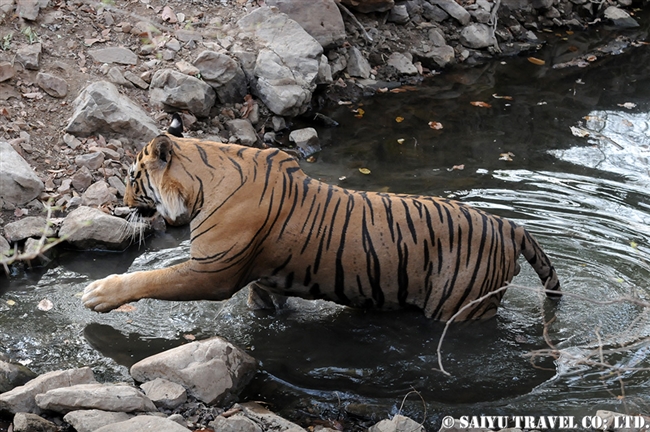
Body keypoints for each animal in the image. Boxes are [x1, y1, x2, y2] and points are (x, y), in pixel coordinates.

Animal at [79, 118, 556, 320]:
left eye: (132, 178)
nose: (120, 202)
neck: (201, 184)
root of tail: (507, 225)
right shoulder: (261, 279)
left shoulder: (209, 272)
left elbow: (153, 277)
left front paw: (99, 293)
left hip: (462, 309)